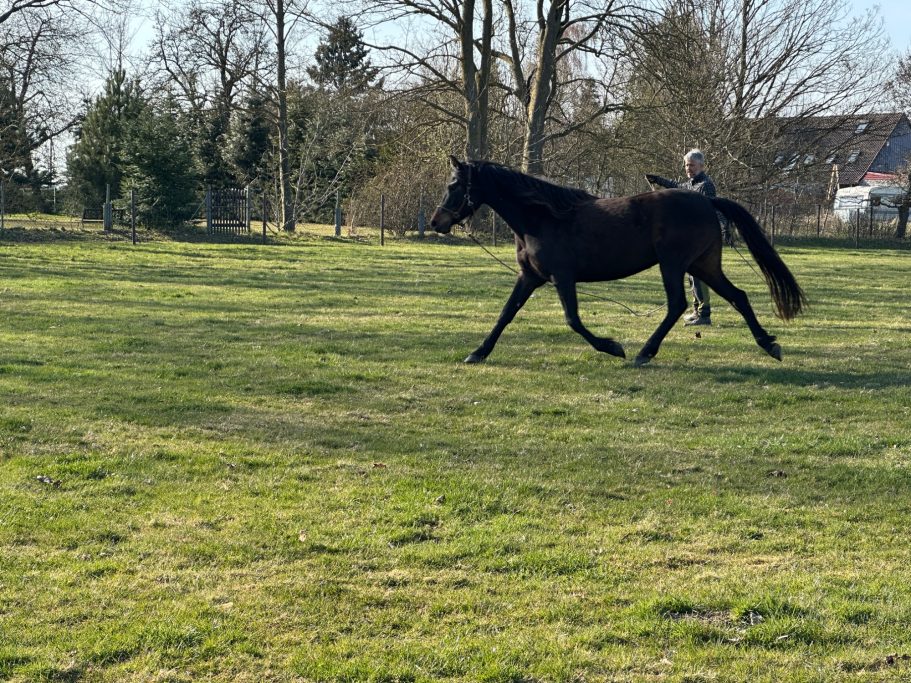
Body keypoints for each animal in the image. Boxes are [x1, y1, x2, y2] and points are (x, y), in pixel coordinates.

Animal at [429, 156, 806, 367]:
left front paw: (612, 347)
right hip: (703, 265)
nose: (436, 222)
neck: (542, 218)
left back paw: (644, 353)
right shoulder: (529, 277)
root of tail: (706, 201)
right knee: (737, 296)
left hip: (674, 264)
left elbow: (573, 320)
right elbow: (506, 314)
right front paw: (478, 352)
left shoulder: (562, 277)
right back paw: (769, 344)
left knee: (677, 304)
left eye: (454, 185)